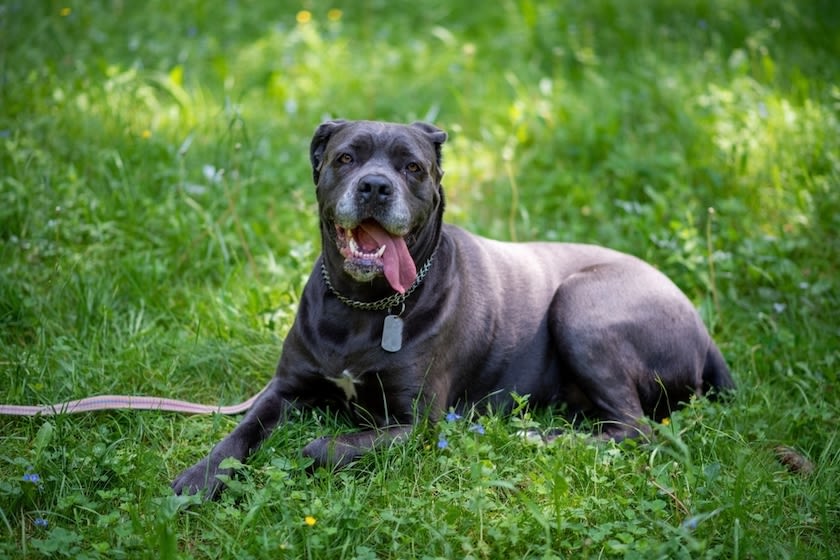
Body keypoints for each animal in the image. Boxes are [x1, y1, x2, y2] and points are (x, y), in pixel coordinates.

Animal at [172, 120, 736, 496]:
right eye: (346, 158)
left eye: (412, 167)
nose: (375, 186)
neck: (364, 306)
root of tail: (705, 332)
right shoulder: (285, 388)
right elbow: (240, 432)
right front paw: (200, 478)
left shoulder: (419, 423)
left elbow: (332, 444)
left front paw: (313, 448)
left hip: (581, 307)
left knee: (635, 430)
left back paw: (537, 437)